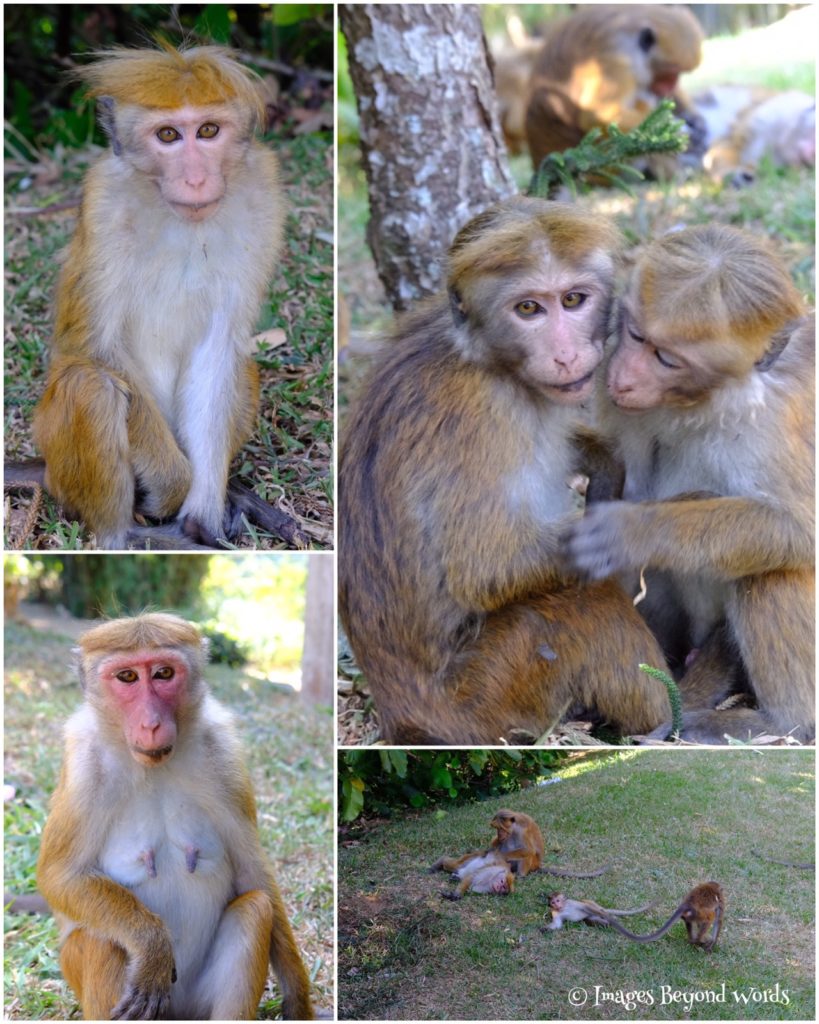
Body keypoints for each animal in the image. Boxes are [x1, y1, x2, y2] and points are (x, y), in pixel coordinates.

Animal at [26, 43, 285, 550]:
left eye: (208, 131)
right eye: (168, 135)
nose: (196, 180)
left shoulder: (264, 201)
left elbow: (218, 350)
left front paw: (202, 514)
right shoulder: (103, 203)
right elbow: (93, 348)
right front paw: (174, 485)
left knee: (243, 367)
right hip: (60, 464)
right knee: (90, 385)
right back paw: (123, 534)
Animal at [36, 613, 313, 1021]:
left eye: (164, 673)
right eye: (127, 677)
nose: (151, 723)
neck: (153, 767)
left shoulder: (224, 757)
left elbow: (252, 872)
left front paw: (297, 995)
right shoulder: (84, 767)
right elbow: (61, 876)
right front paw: (152, 945)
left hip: (195, 1002)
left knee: (255, 910)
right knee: (101, 939)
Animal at [339, 196, 673, 745]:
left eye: (573, 300)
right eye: (528, 309)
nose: (566, 354)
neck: (492, 362)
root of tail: (403, 720)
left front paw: (605, 469)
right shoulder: (480, 421)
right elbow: (482, 566)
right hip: (488, 694)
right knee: (582, 606)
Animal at [525, 5, 704, 173]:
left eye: (677, 74)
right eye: (669, 74)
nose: (670, 85)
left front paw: (694, 119)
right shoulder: (616, 60)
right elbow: (596, 116)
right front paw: (676, 133)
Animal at [568, 225, 815, 744]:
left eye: (665, 357)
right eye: (635, 334)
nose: (623, 375)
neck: (713, 401)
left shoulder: (778, 418)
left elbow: (800, 529)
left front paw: (633, 529)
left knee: (771, 565)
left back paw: (783, 723)